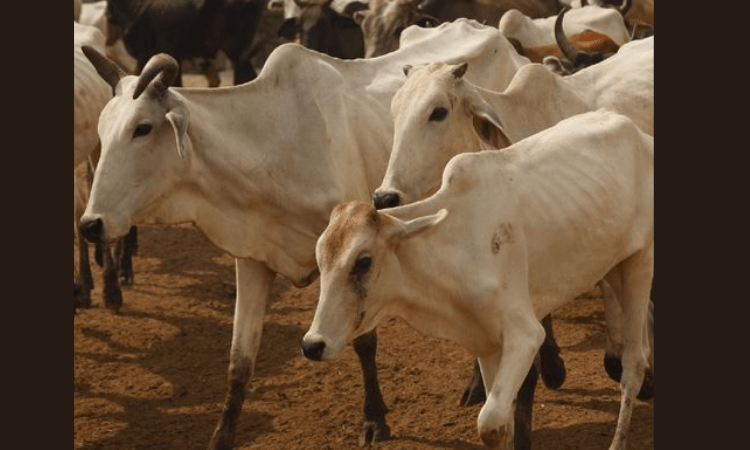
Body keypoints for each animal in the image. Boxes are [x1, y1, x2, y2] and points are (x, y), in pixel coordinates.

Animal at [78, 18, 531, 449]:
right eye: (100, 130)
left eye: (142, 128)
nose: (90, 224)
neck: (273, 145)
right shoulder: (252, 258)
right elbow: (240, 361)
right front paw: (221, 436)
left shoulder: (360, 251)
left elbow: (364, 342)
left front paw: (374, 419)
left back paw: (475, 384)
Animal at [303, 108, 654, 450]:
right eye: (320, 262)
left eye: (363, 262)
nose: (312, 345)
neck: (452, 245)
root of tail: (640, 135)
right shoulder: (484, 343)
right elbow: (501, 428)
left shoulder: (525, 335)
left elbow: (489, 422)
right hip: (611, 266)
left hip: (639, 264)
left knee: (633, 365)